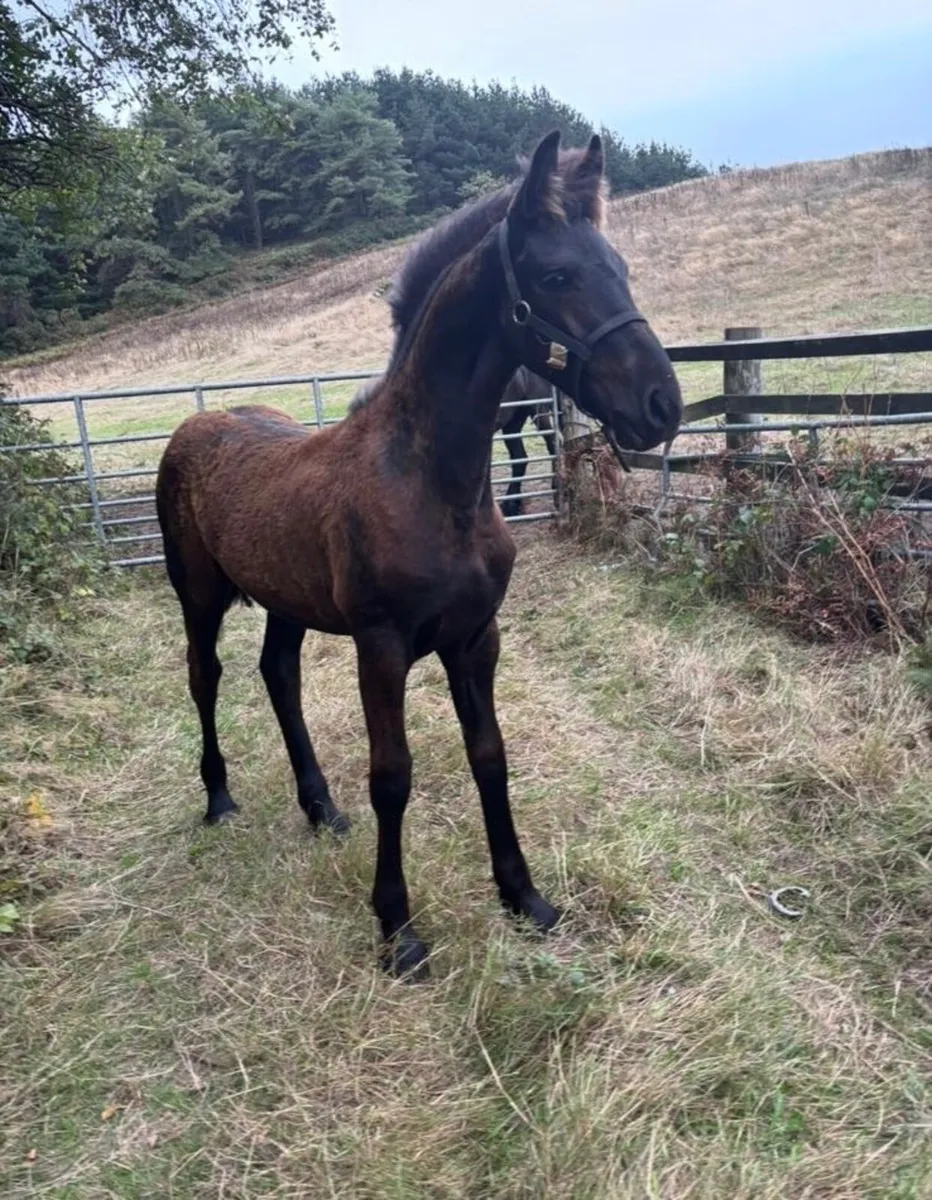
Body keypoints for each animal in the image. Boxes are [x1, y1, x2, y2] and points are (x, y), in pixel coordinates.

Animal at [155, 130, 683, 980]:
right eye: (556, 275)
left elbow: (489, 756)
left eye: (621, 267)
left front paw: (524, 898)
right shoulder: (382, 645)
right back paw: (220, 799)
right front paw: (398, 931)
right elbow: (392, 778)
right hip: (197, 595)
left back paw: (320, 808)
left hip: (286, 599)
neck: (432, 480)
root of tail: (194, 426)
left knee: (279, 676)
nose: (660, 405)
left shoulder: (476, 638)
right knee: (206, 678)